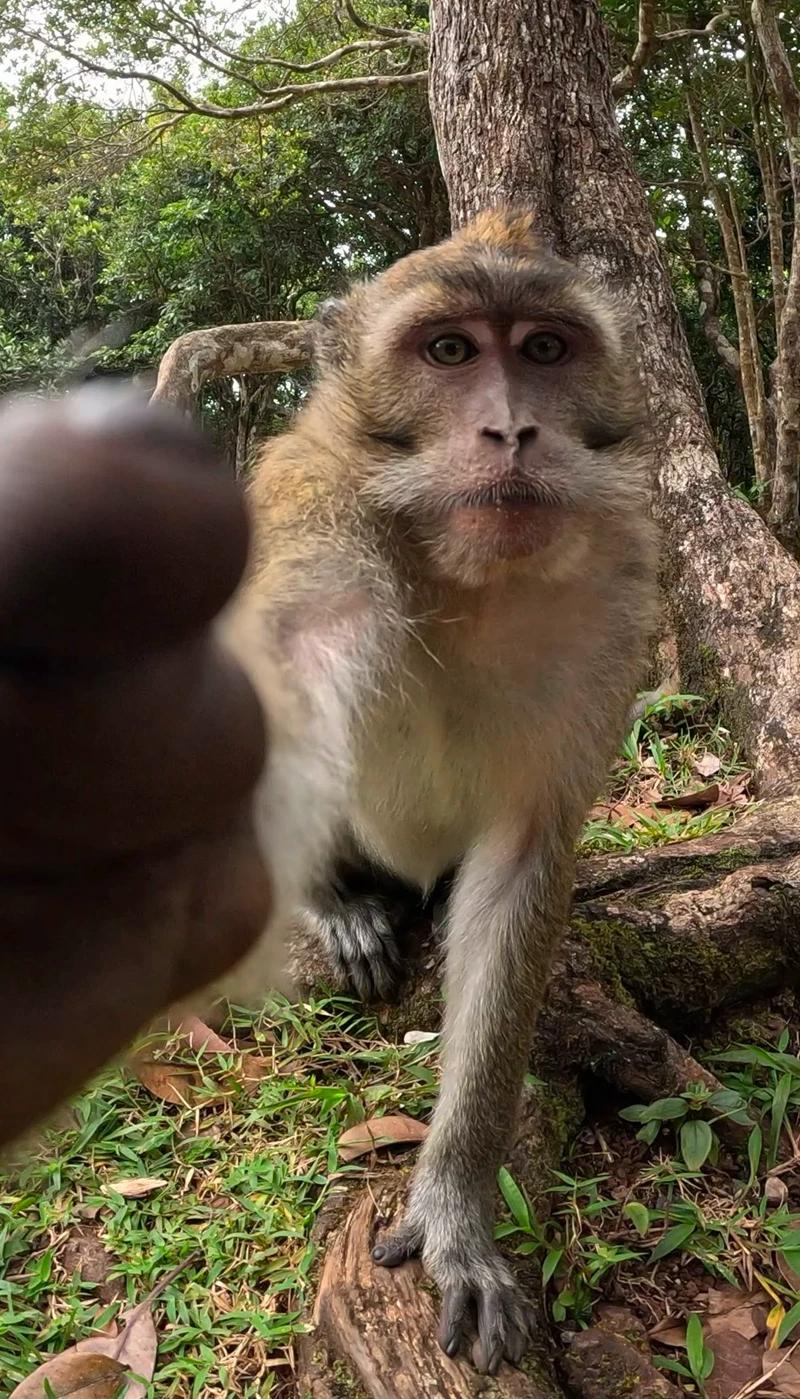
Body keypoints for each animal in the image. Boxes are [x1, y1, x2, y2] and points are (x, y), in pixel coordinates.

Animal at [215, 208, 659, 1374]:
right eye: (450, 351)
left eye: (544, 349)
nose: (512, 431)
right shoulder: (310, 509)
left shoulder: (619, 589)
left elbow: (522, 860)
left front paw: (456, 1203)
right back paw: (339, 902)